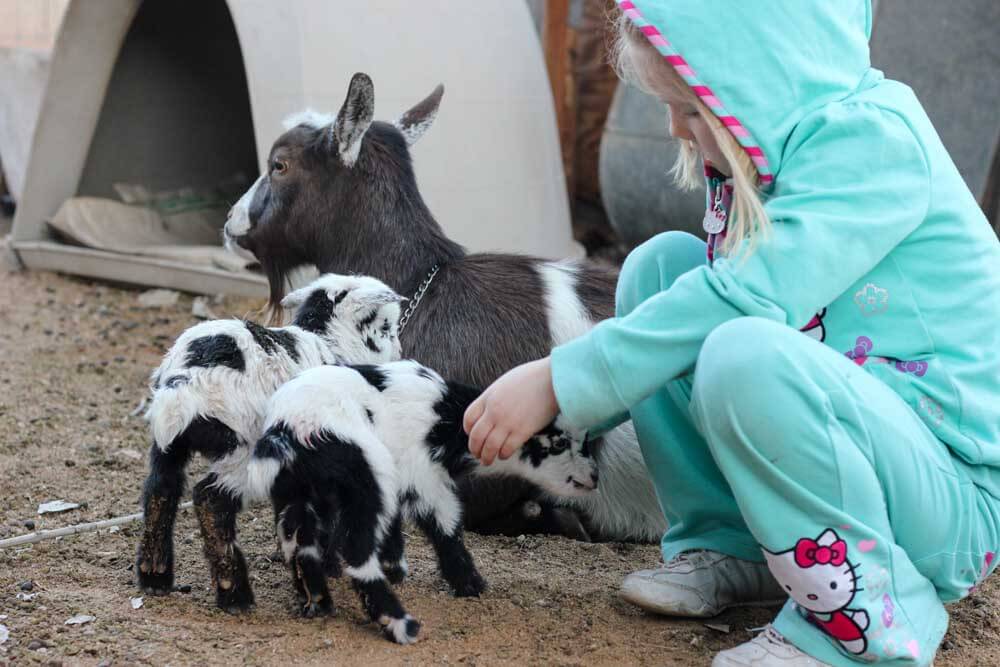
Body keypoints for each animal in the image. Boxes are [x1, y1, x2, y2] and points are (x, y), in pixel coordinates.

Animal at [136, 274, 402, 612]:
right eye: (386, 327)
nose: (400, 351)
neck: (332, 345)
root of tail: (185, 382)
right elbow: (321, 514)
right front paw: (322, 573)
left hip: (169, 442)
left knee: (161, 488)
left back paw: (154, 576)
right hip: (242, 448)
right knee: (210, 500)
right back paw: (234, 595)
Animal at [245, 362, 596, 644]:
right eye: (558, 443)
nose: (594, 476)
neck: (447, 420)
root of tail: (287, 431)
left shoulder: (402, 477)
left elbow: (394, 523)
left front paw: (395, 567)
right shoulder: (422, 475)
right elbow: (445, 524)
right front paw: (470, 583)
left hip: (296, 493)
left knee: (299, 545)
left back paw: (318, 602)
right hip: (366, 469)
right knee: (357, 551)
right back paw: (399, 624)